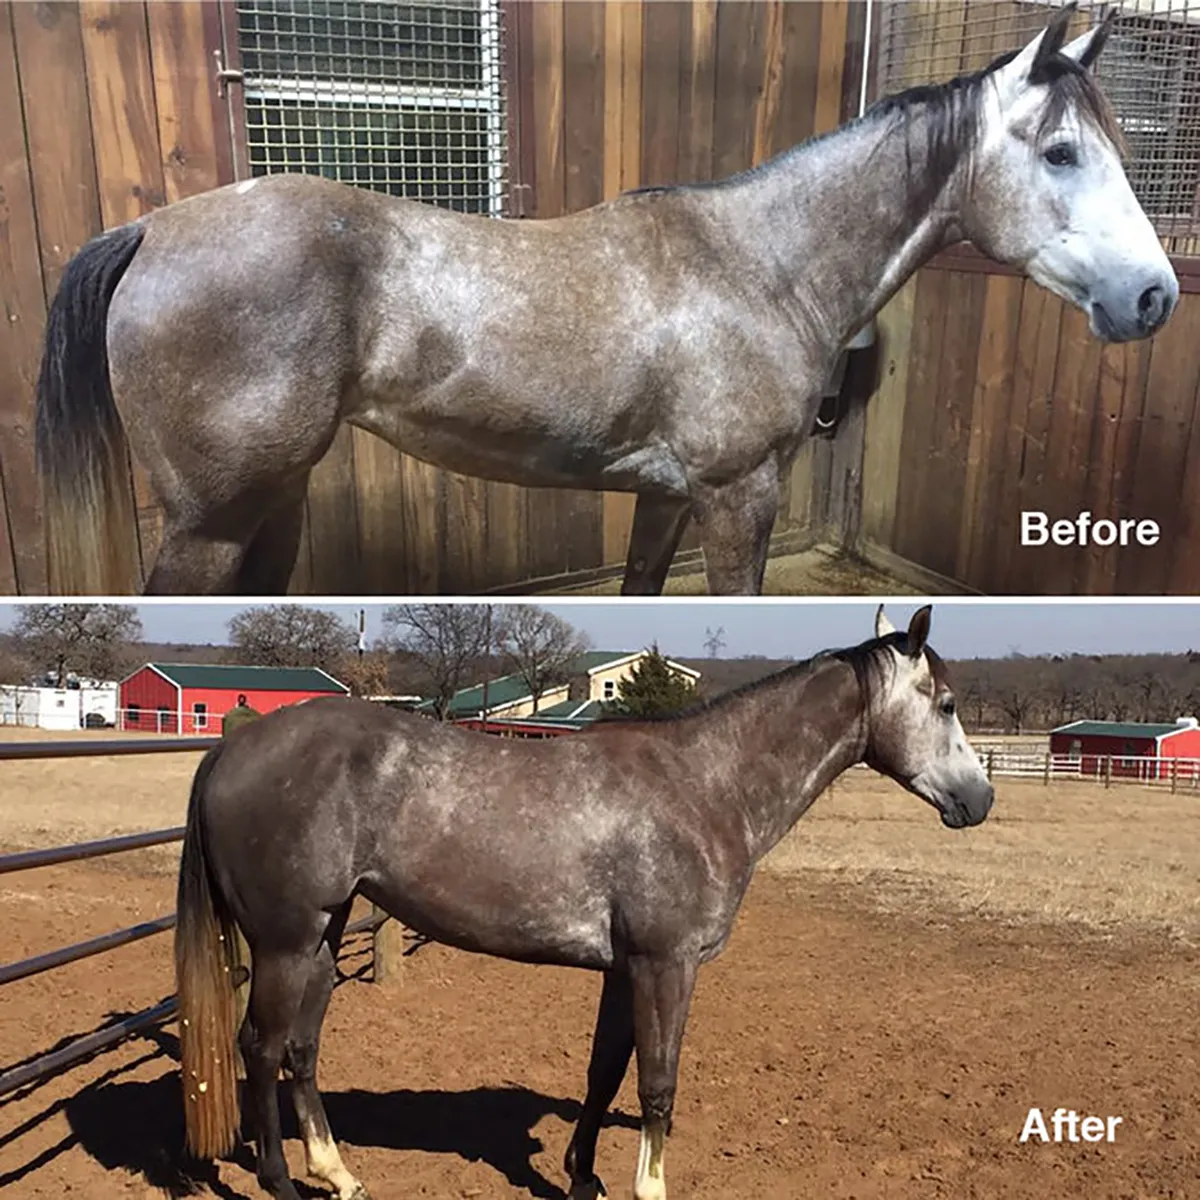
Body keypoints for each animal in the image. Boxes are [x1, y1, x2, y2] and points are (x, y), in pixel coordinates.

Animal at [35, 7, 1175, 597]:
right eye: (1061, 152)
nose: (1155, 295)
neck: (757, 264)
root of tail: (153, 230)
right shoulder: (735, 500)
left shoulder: (666, 498)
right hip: (212, 520)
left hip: (273, 499)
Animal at [175, 604, 994, 1200]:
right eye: (948, 703)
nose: (981, 800)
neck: (705, 786)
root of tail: (232, 748)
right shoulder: (666, 966)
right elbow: (658, 1084)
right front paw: (648, 1189)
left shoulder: (624, 969)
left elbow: (605, 1071)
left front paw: (582, 1176)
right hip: (286, 942)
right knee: (261, 1047)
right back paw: (282, 1182)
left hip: (322, 935)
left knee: (301, 1051)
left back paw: (338, 1174)